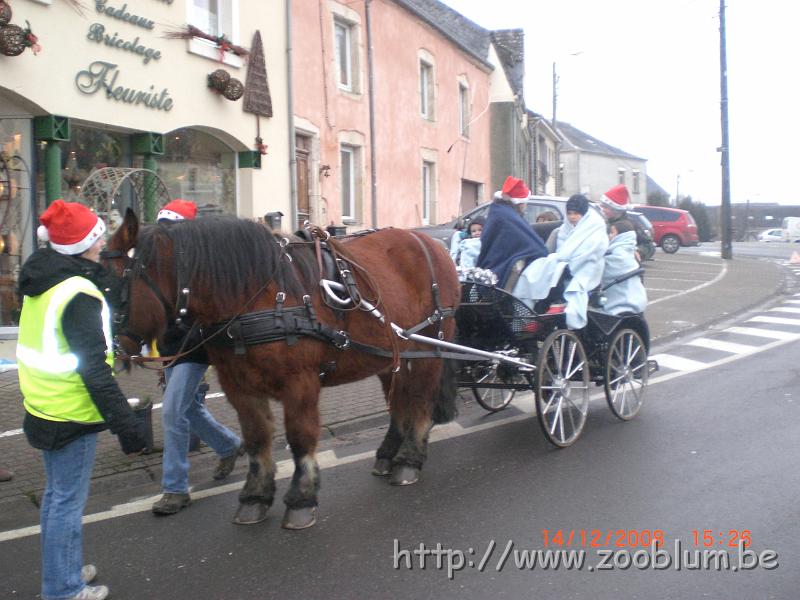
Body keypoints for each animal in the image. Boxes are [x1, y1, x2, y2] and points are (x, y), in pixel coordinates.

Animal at [103, 212, 460, 528]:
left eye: (111, 286)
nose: (112, 351)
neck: (256, 296)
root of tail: (433, 244)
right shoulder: (238, 386)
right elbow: (256, 438)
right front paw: (255, 496)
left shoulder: (299, 384)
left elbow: (300, 438)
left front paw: (301, 498)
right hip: (391, 355)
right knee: (398, 403)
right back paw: (387, 454)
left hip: (429, 348)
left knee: (420, 402)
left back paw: (408, 460)